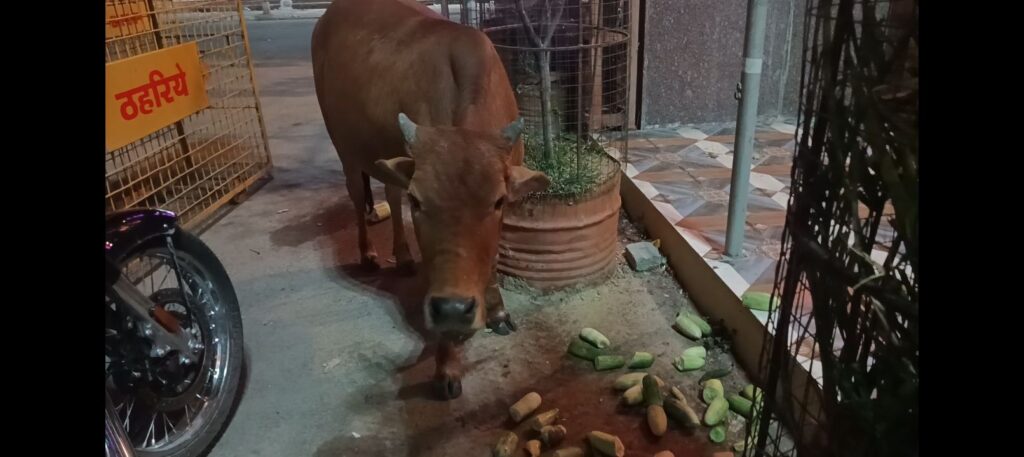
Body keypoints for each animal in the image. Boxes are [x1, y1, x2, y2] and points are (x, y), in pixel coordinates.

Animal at [311, 0, 550, 399]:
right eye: (420, 203)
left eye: (498, 202)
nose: (453, 308)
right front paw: (447, 367)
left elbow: (492, 257)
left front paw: (498, 312)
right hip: (344, 148)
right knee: (357, 194)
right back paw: (369, 254)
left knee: (390, 191)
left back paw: (404, 256)